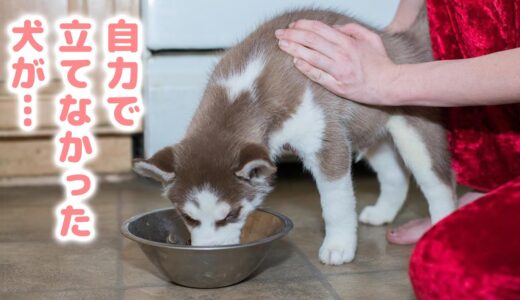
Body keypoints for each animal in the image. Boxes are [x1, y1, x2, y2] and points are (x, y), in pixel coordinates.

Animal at [134, 8, 456, 264]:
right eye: (189, 217)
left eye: (232, 214)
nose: (209, 252)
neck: (245, 88)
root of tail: (401, 42)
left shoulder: (327, 142)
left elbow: (336, 204)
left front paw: (338, 246)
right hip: (369, 130)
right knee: (394, 174)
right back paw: (381, 213)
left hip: (414, 131)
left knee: (439, 184)